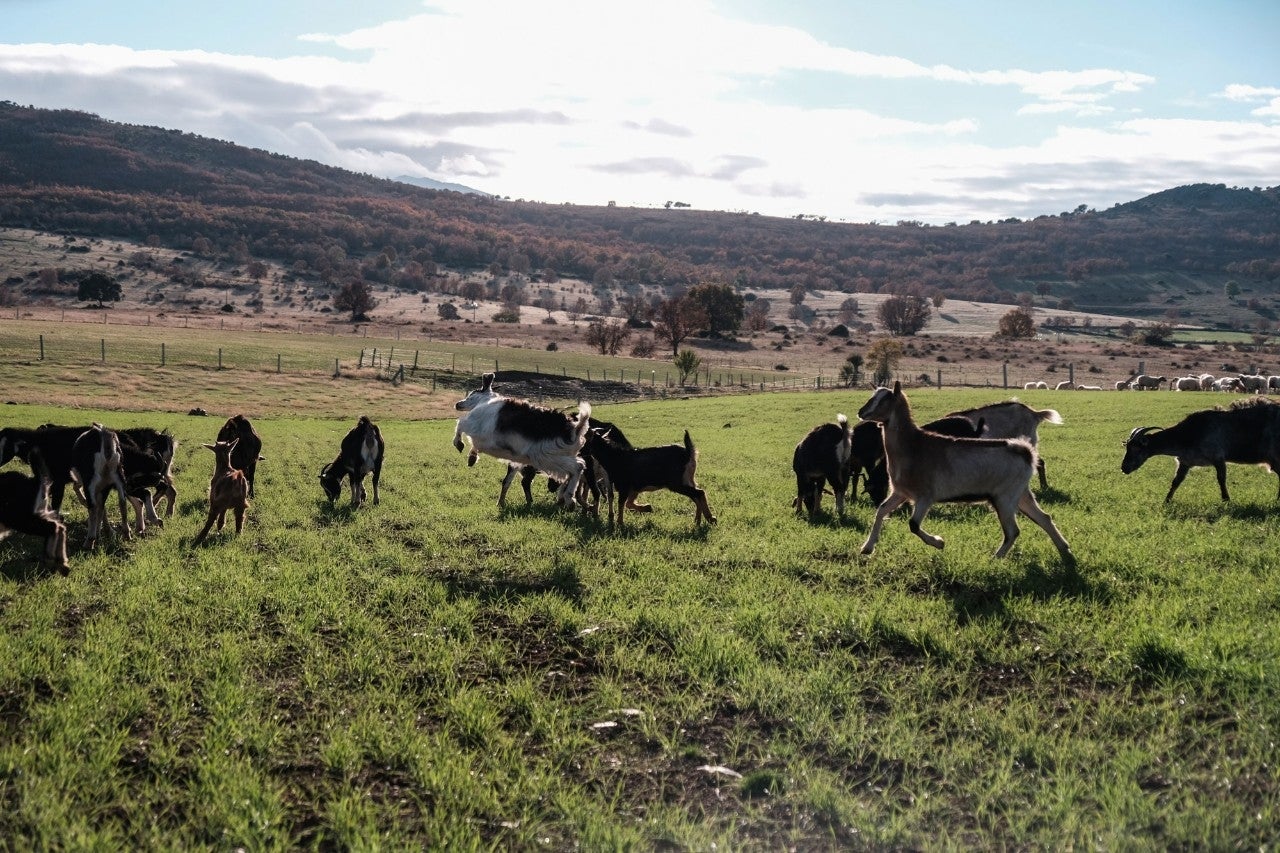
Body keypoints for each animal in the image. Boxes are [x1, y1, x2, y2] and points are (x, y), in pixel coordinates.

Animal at [453, 371, 591, 504]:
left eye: (471, 394)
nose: (457, 404)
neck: (485, 401)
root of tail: (576, 428)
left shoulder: (475, 427)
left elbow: (460, 424)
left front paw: (459, 444)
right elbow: (472, 444)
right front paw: (471, 458)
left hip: (547, 457)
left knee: (578, 467)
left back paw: (569, 498)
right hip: (557, 457)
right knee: (572, 472)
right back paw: (567, 499)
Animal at [586, 427, 716, 527]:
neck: (613, 456)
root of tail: (689, 453)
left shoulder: (624, 487)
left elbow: (622, 504)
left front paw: (620, 523)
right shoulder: (634, 489)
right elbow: (629, 503)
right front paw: (647, 508)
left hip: (677, 483)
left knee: (699, 493)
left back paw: (710, 518)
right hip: (687, 480)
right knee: (697, 495)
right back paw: (698, 520)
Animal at [860, 381, 1070, 560]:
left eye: (885, 400)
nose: (861, 412)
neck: (911, 445)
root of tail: (1025, 452)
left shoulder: (925, 496)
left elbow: (913, 525)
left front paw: (939, 542)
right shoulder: (901, 492)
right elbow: (881, 510)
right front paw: (867, 547)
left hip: (1004, 497)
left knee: (1013, 531)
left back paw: (994, 559)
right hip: (1021, 493)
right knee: (1044, 518)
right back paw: (1065, 550)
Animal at [1121, 394, 1280, 502]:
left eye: (1136, 448)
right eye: (1127, 447)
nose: (1124, 468)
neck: (1191, 433)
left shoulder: (1218, 457)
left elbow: (1221, 479)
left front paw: (1226, 499)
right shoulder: (1185, 462)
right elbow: (1176, 481)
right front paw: (1166, 501)